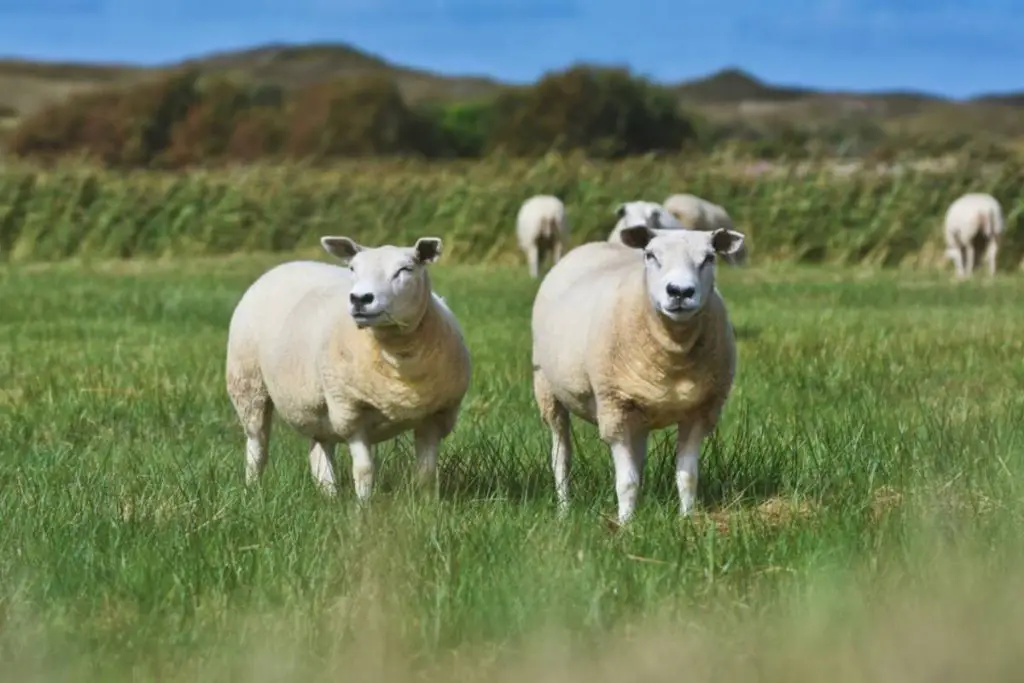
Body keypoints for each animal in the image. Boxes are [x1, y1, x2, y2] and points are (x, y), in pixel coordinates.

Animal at [224, 237, 471, 499]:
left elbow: (426, 472)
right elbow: (364, 470)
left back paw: (329, 494)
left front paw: (427, 503)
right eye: (353, 268)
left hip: (317, 404)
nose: (360, 299)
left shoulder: (436, 416)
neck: (398, 361)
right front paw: (363, 506)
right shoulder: (350, 411)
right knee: (257, 444)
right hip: (248, 383)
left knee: (319, 448)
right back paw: (253, 490)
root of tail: (284, 266)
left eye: (405, 269)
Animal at [528, 224, 745, 524]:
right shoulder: (614, 408)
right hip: (547, 389)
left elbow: (687, 477)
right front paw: (625, 523)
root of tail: (594, 245)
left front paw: (687, 519)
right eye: (651, 255)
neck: (674, 354)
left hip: (640, 412)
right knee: (561, 454)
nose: (680, 291)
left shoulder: (700, 412)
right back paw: (564, 507)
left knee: (637, 456)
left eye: (709, 258)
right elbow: (626, 481)